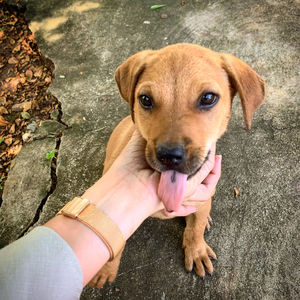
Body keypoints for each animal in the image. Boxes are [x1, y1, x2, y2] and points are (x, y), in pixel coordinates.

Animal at [89, 43, 264, 288]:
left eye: (208, 97)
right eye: (145, 99)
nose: (169, 156)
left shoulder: (203, 198)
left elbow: (196, 229)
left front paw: (197, 250)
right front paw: (105, 268)